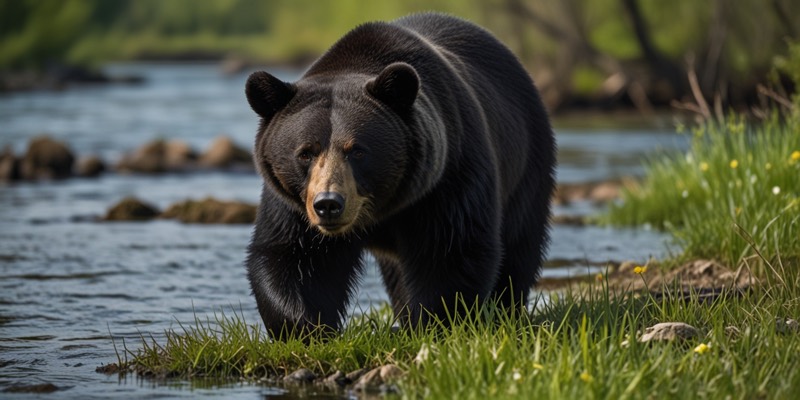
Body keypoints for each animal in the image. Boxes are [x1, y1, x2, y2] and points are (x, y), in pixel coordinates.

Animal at [245, 13, 555, 336]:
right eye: (306, 152)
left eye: (357, 150)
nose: (328, 204)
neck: (383, 208)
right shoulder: (295, 202)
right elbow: (295, 257)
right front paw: (307, 327)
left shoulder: (448, 175)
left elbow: (451, 250)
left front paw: (437, 321)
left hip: (527, 162)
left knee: (519, 242)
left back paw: (505, 311)